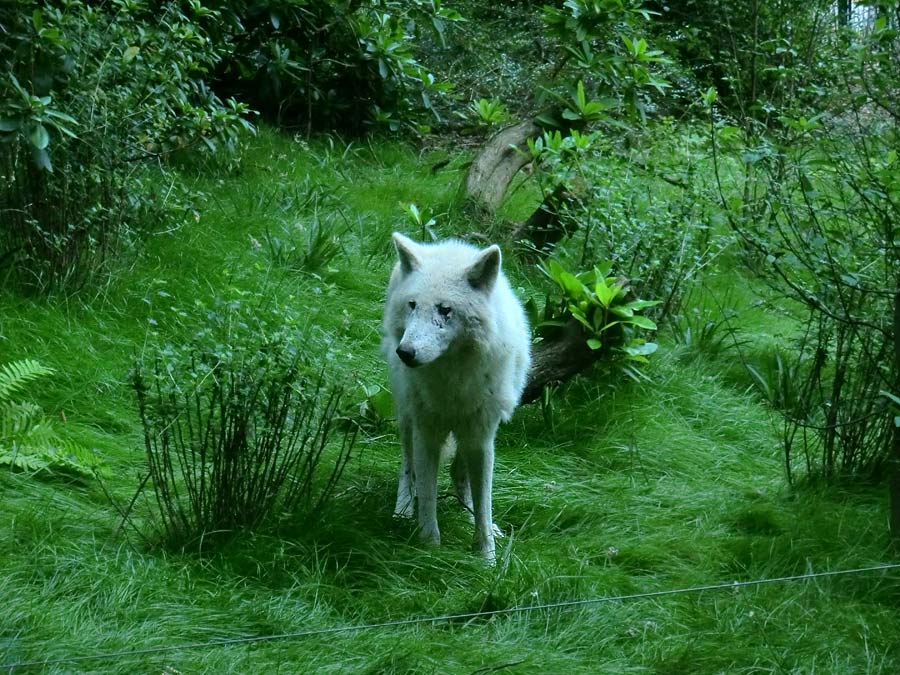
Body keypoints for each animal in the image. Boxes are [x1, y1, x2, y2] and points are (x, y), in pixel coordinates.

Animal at [382, 235, 536, 564]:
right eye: (413, 305)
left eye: (445, 309)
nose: (405, 353)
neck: (452, 376)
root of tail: (449, 244)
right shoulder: (426, 432)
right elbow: (427, 494)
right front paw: (430, 548)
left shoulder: (481, 434)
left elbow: (484, 500)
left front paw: (487, 557)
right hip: (406, 414)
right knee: (407, 465)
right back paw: (403, 509)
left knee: (460, 473)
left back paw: (468, 511)